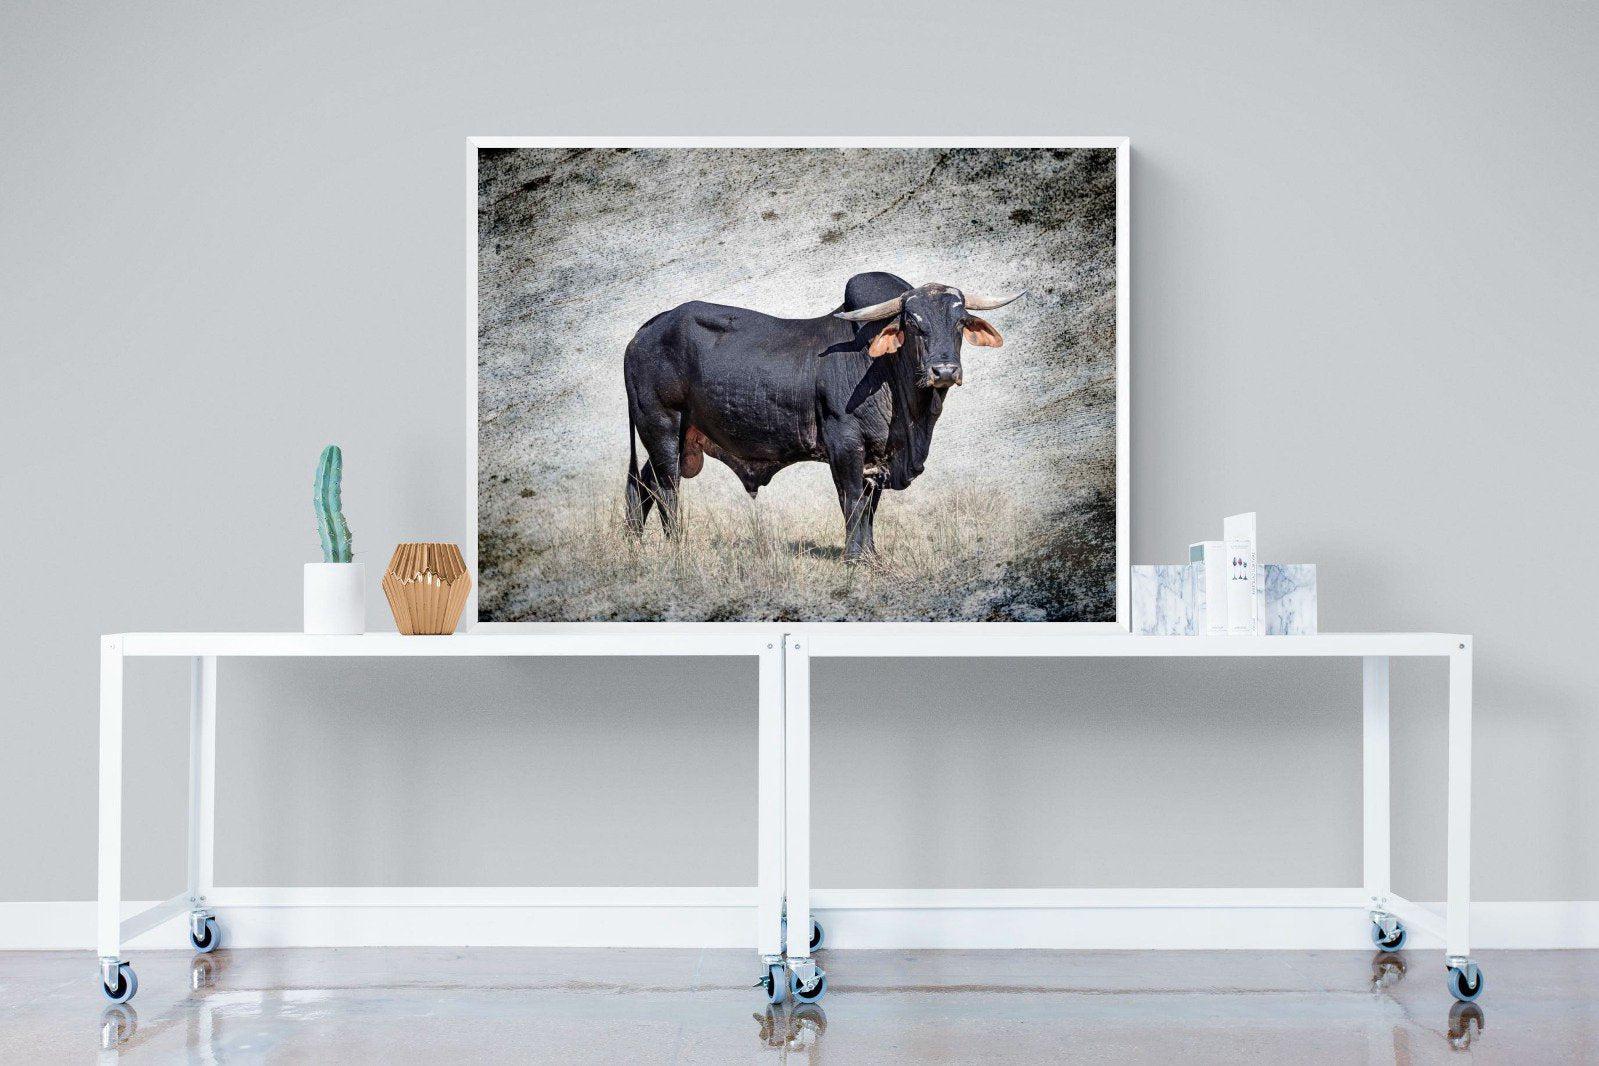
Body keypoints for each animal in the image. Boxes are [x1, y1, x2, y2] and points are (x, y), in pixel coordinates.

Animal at [623, 271, 1023, 561]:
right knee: (666, 489)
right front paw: (855, 557)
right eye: (912, 321)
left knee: (641, 485)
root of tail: (646, 330)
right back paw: (676, 546)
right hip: (661, 427)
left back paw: (633, 543)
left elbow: (870, 507)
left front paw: (871, 555)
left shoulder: (876, 457)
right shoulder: (844, 445)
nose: (944, 371)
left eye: (960, 321)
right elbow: (852, 500)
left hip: (675, 438)